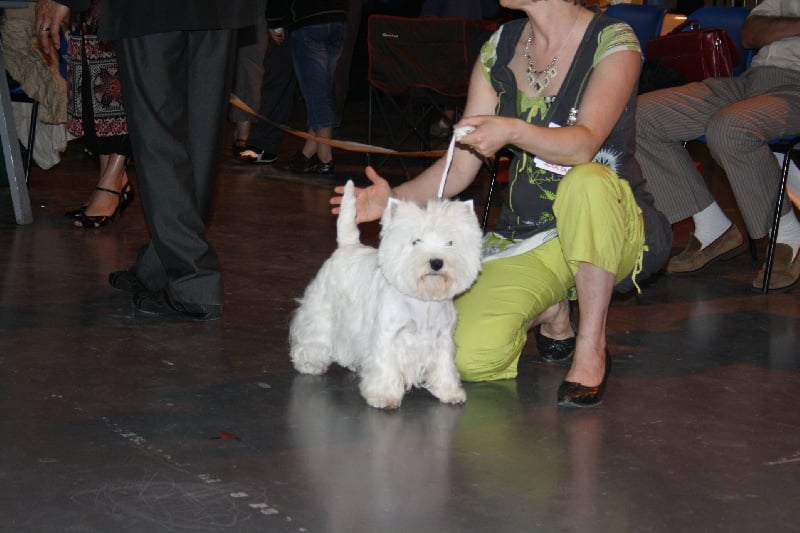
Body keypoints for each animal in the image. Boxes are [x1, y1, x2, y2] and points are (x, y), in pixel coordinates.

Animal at [289, 180, 483, 409]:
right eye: (416, 241)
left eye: (450, 242)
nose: (436, 262)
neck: (423, 301)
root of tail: (347, 246)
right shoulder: (388, 336)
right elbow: (385, 367)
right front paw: (384, 396)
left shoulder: (442, 338)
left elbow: (444, 366)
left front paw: (450, 392)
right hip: (322, 310)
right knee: (314, 337)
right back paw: (309, 364)